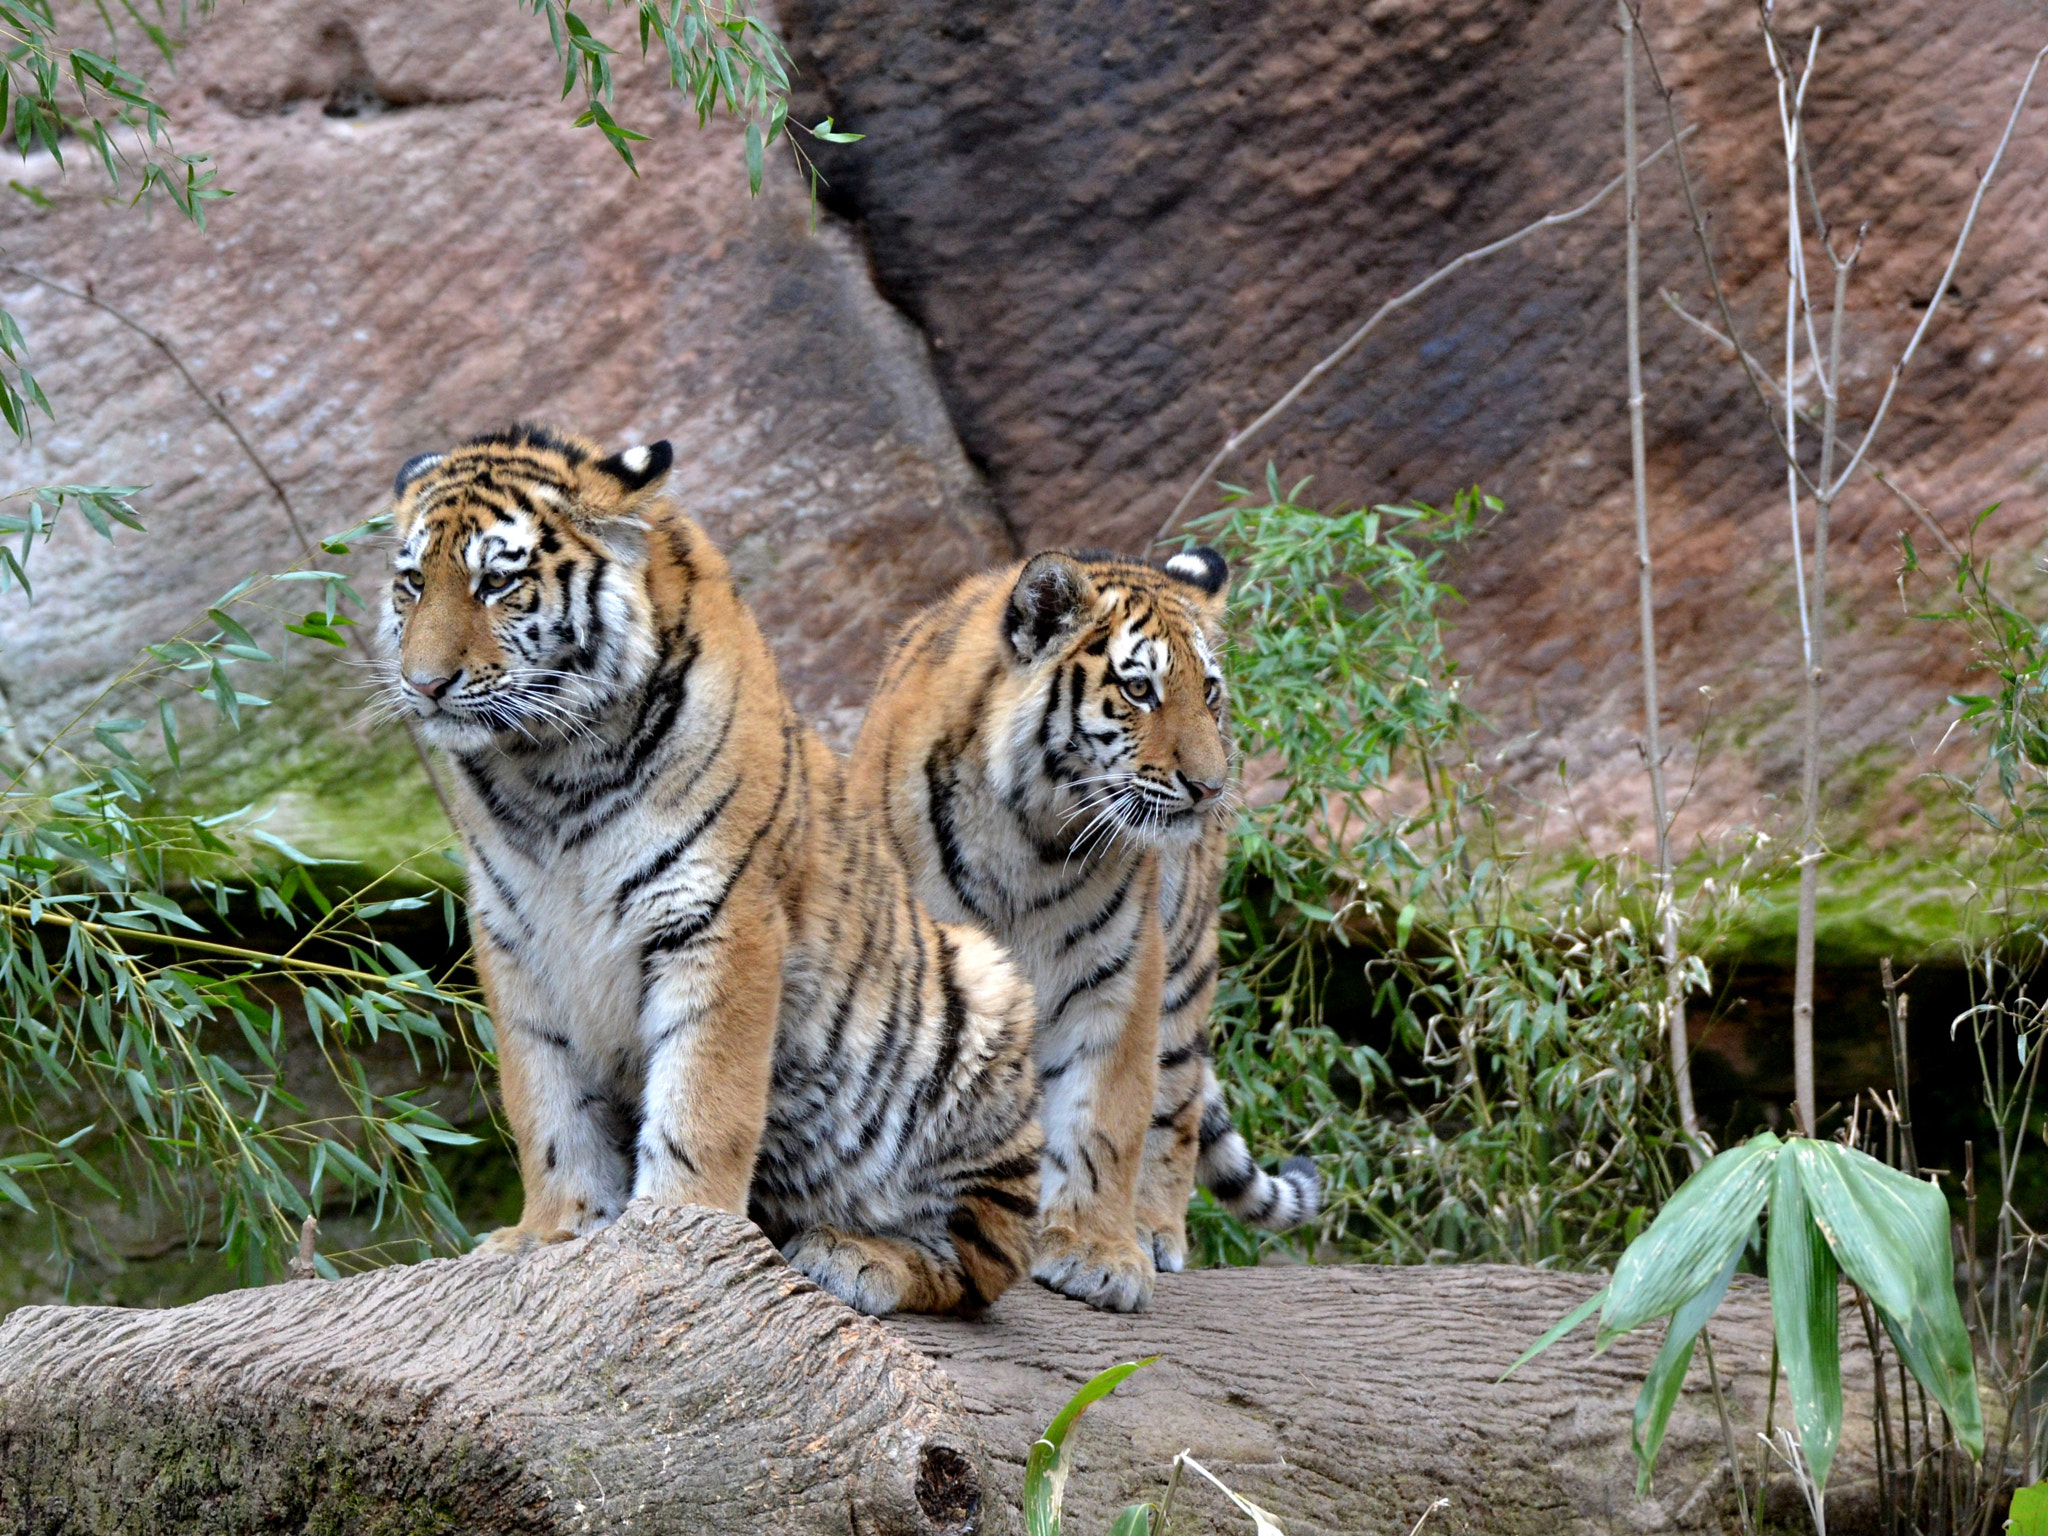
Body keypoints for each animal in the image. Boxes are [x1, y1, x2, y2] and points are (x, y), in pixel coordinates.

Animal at [375, 424, 1042, 1316]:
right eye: (413, 583)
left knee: (983, 1264)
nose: (425, 686)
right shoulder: (515, 938)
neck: (546, 774)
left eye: (498, 583)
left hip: (984, 988)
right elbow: (546, 1106)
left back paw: (856, 1255)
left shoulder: (719, 918)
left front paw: (676, 1229)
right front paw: (550, 1231)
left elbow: (702, 1101)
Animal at [848, 544, 1320, 1313]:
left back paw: (1153, 1229)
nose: (1212, 788)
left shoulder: (1119, 978)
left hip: (1185, 970)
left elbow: (1106, 1119)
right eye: (1139, 690)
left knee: (1177, 1105)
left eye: (1209, 692)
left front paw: (1098, 1253)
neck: (1031, 837)